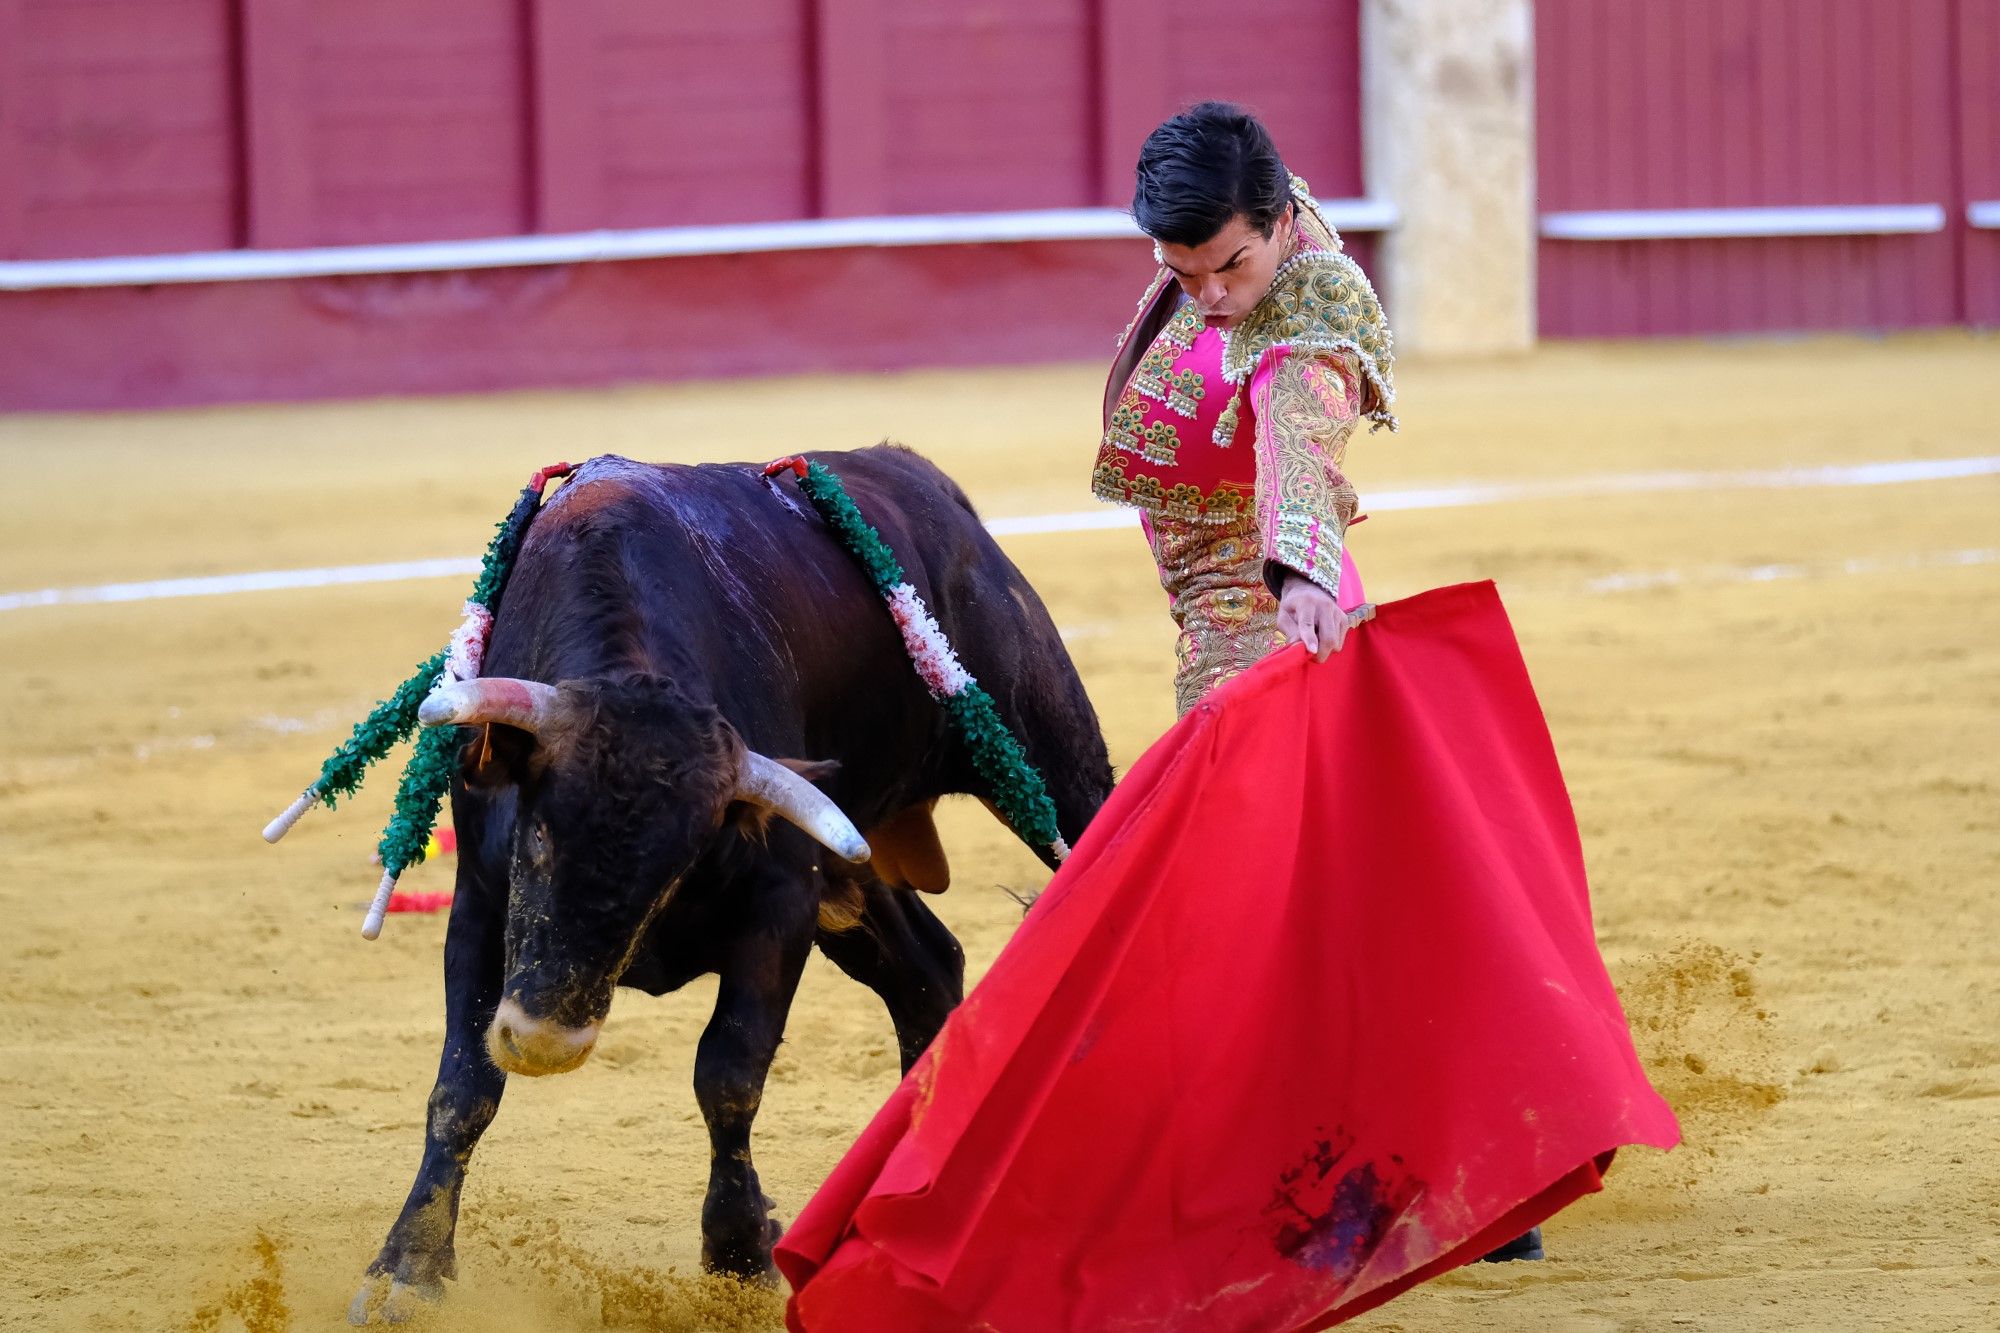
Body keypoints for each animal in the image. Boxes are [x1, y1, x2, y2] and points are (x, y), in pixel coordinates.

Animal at [352, 446, 1120, 1320]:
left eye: (677, 863)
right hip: (853, 869)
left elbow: (727, 1071)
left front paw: (740, 1254)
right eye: (539, 834)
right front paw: (408, 1267)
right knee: (929, 968)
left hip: (1052, 762)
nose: (545, 1042)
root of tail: (924, 482)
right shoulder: (481, 902)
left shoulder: (781, 903)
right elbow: (464, 1085)